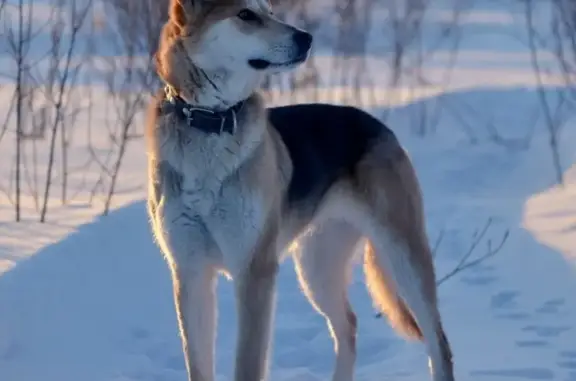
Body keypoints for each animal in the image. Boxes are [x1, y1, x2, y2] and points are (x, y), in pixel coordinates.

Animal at [145, 0, 454, 380]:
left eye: (271, 11)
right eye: (246, 15)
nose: (306, 38)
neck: (210, 121)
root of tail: (377, 124)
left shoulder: (255, 272)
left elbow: (247, 364)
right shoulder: (190, 273)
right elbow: (199, 366)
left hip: (403, 255)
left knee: (438, 342)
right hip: (317, 266)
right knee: (348, 326)